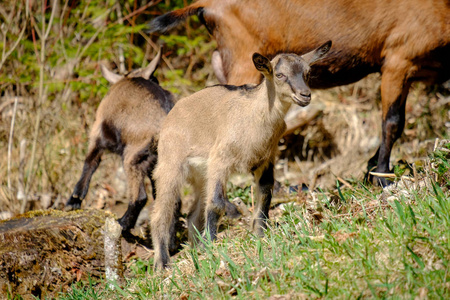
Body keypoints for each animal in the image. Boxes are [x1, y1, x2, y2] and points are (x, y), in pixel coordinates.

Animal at [149, 0, 450, 186]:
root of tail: (208, 5)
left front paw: (371, 169)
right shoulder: (400, 58)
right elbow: (393, 122)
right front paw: (382, 177)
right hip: (244, 55)